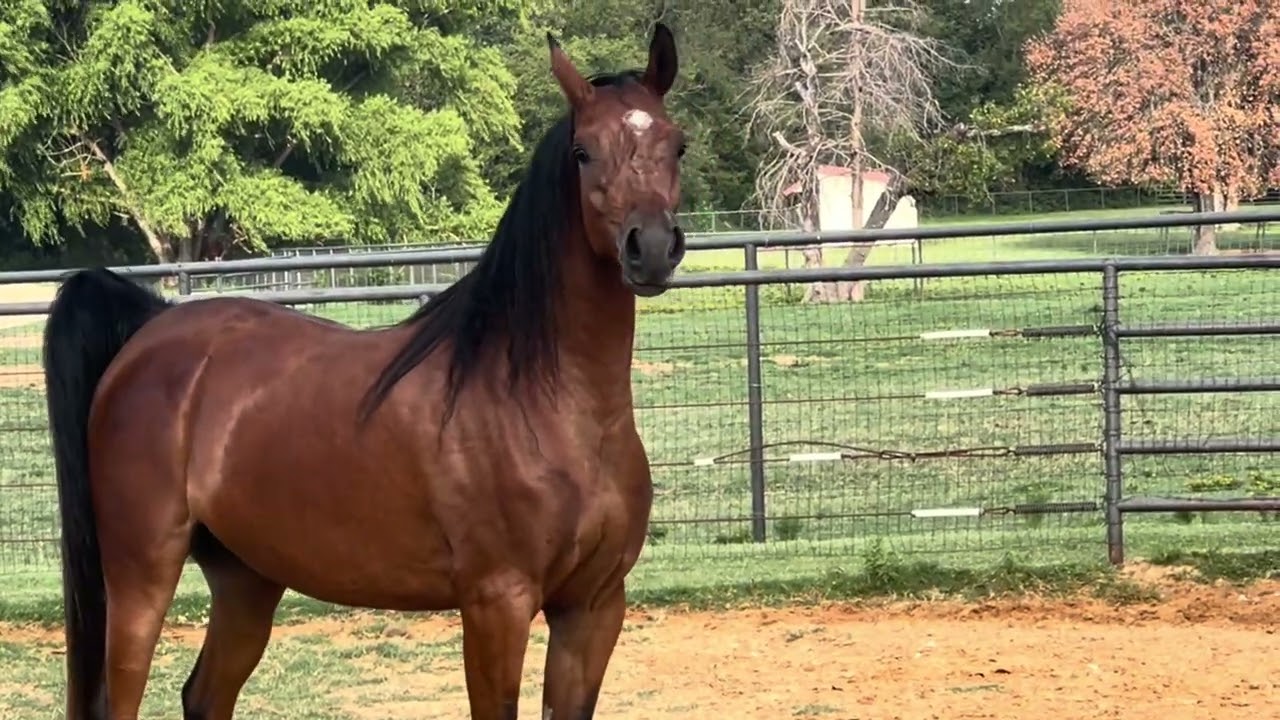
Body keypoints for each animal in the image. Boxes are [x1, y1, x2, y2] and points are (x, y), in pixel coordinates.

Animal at [41, 23, 686, 720]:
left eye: (677, 144)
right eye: (582, 152)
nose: (650, 248)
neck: (550, 406)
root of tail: (151, 331)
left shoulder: (594, 609)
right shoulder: (497, 605)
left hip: (247, 579)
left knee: (205, 694)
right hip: (142, 576)